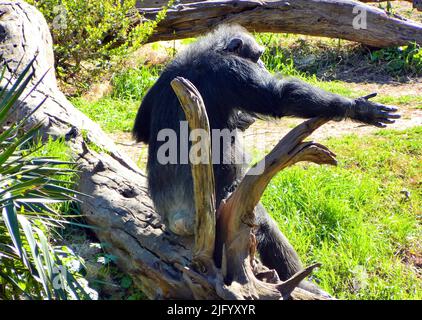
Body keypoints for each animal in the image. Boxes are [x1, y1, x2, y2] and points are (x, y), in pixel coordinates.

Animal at [133, 23, 398, 292]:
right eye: (258, 56)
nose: (263, 65)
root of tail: (177, 220)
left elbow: (141, 132)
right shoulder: (231, 70)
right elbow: (279, 97)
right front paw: (359, 108)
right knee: (264, 225)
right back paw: (301, 282)